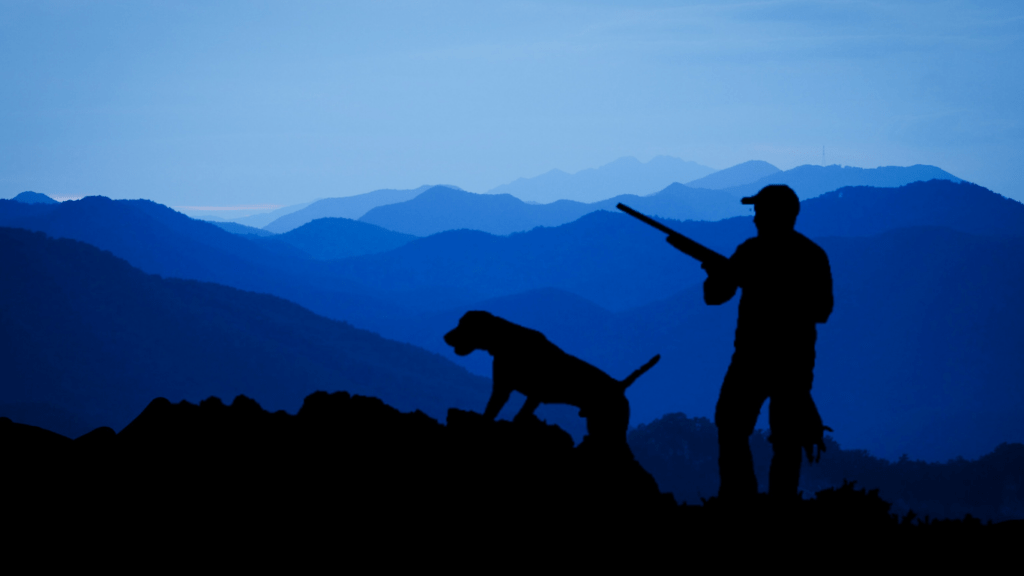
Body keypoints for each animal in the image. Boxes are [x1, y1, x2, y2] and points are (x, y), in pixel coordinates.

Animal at [444, 311, 659, 440]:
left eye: (463, 324)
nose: (445, 337)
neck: (506, 341)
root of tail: (619, 385)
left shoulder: (522, 393)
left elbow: (509, 413)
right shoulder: (506, 389)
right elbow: (493, 410)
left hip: (610, 427)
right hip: (597, 425)